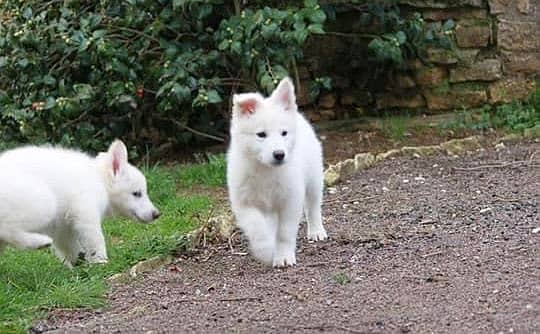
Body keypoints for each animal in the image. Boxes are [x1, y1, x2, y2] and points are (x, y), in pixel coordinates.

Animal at [0, 140, 160, 264]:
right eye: (137, 193)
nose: (157, 214)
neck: (99, 179)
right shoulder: (85, 211)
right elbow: (96, 239)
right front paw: (101, 262)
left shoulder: (62, 227)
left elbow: (70, 247)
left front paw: (80, 266)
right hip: (45, 202)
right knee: (7, 229)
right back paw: (39, 242)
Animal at [227, 77, 326, 268]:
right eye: (261, 134)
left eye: (284, 133)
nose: (279, 154)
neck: (265, 169)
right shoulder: (244, 203)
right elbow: (257, 228)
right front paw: (266, 250)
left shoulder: (290, 200)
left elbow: (284, 232)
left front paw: (284, 256)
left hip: (314, 178)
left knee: (313, 206)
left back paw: (317, 231)